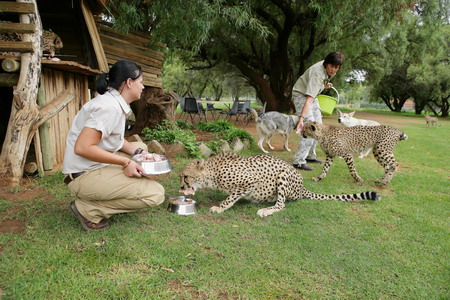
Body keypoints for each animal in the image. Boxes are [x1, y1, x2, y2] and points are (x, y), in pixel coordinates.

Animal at [179, 154, 380, 217]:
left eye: (185, 176)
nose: (181, 188)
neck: (213, 172)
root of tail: (302, 187)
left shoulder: (250, 181)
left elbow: (230, 197)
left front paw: (220, 207)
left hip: (283, 176)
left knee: (282, 204)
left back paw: (265, 210)